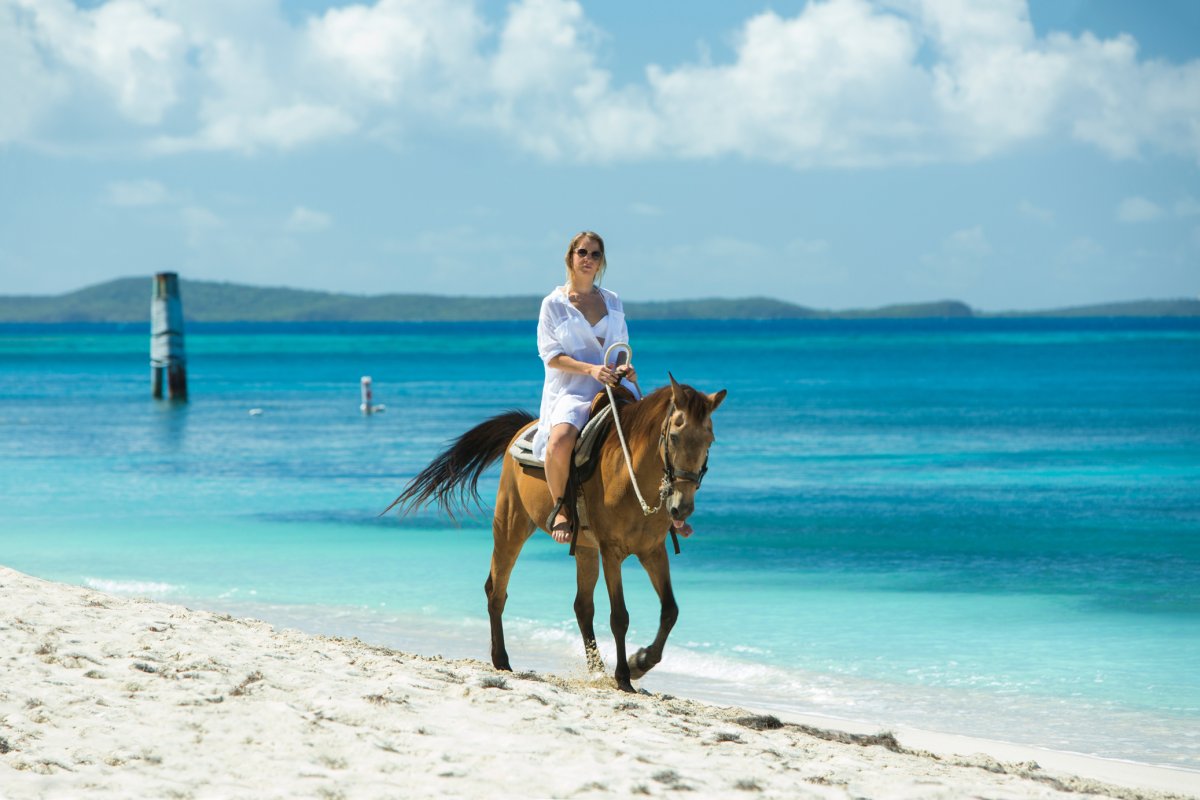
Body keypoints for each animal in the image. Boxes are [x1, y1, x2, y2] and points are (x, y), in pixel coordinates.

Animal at [388, 379, 724, 690]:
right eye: (675, 436)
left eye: (709, 439)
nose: (681, 508)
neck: (630, 475)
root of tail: (524, 427)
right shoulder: (611, 552)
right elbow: (619, 616)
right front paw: (624, 676)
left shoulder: (652, 551)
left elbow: (670, 611)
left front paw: (640, 662)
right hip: (511, 526)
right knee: (496, 590)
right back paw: (502, 660)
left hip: (585, 549)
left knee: (582, 606)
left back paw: (596, 669)